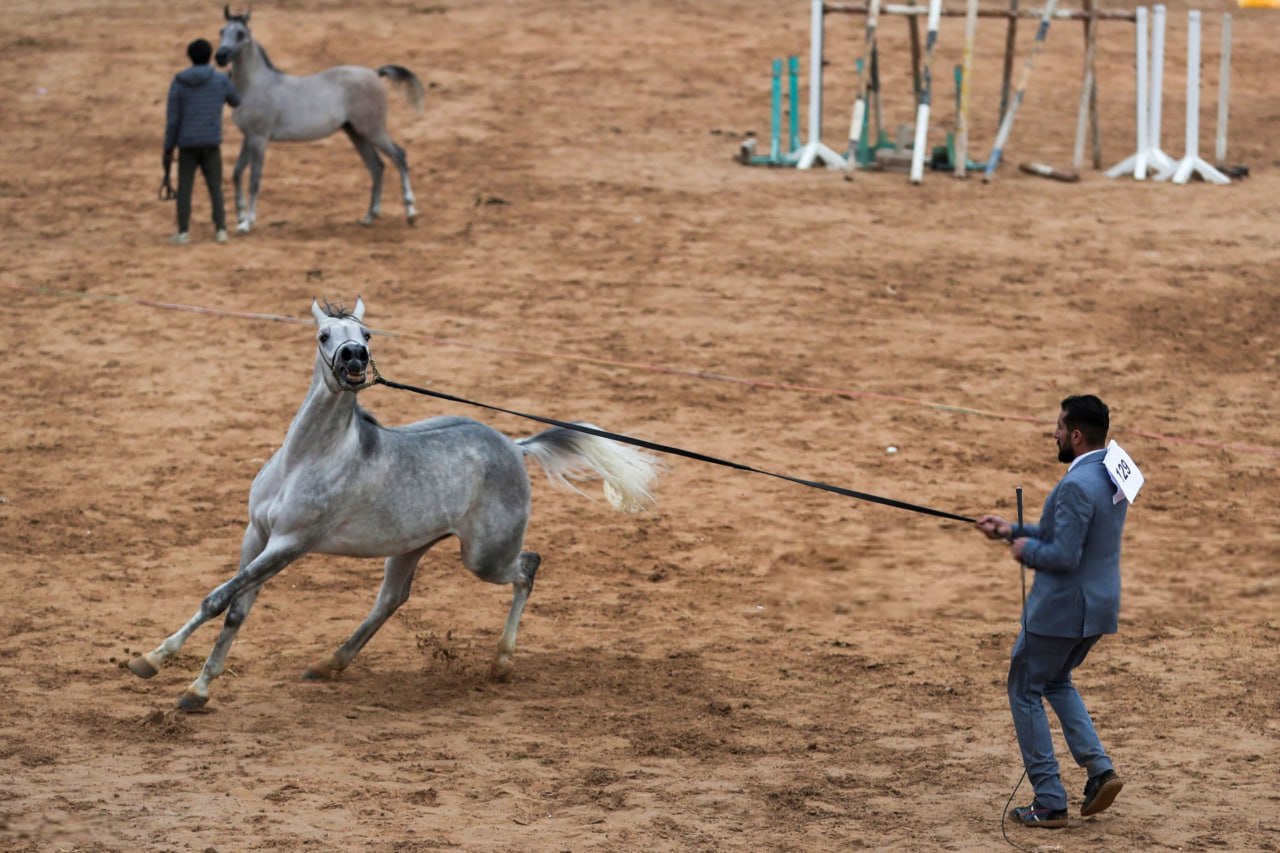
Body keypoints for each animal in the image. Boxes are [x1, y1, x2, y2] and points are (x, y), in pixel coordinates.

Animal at [129, 295, 665, 706]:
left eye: (367, 334)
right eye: (324, 335)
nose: (353, 359)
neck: (308, 458)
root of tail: (515, 445)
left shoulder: (290, 543)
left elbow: (219, 597)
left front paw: (154, 662)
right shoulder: (257, 535)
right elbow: (234, 606)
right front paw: (192, 689)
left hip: (485, 556)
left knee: (528, 567)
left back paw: (501, 662)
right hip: (410, 547)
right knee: (392, 599)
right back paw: (328, 663)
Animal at [215, 8, 424, 233]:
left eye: (240, 34)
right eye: (221, 31)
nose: (220, 56)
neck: (256, 86)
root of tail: (375, 73)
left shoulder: (259, 139)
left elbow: (254, 180)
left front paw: (247, 223)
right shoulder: (248, 137)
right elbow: (237, 173)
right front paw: (239, 217)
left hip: (372, 130)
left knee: (399, 156)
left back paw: (411, 213)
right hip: (356, 133)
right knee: (377, 166)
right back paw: (369, 216)